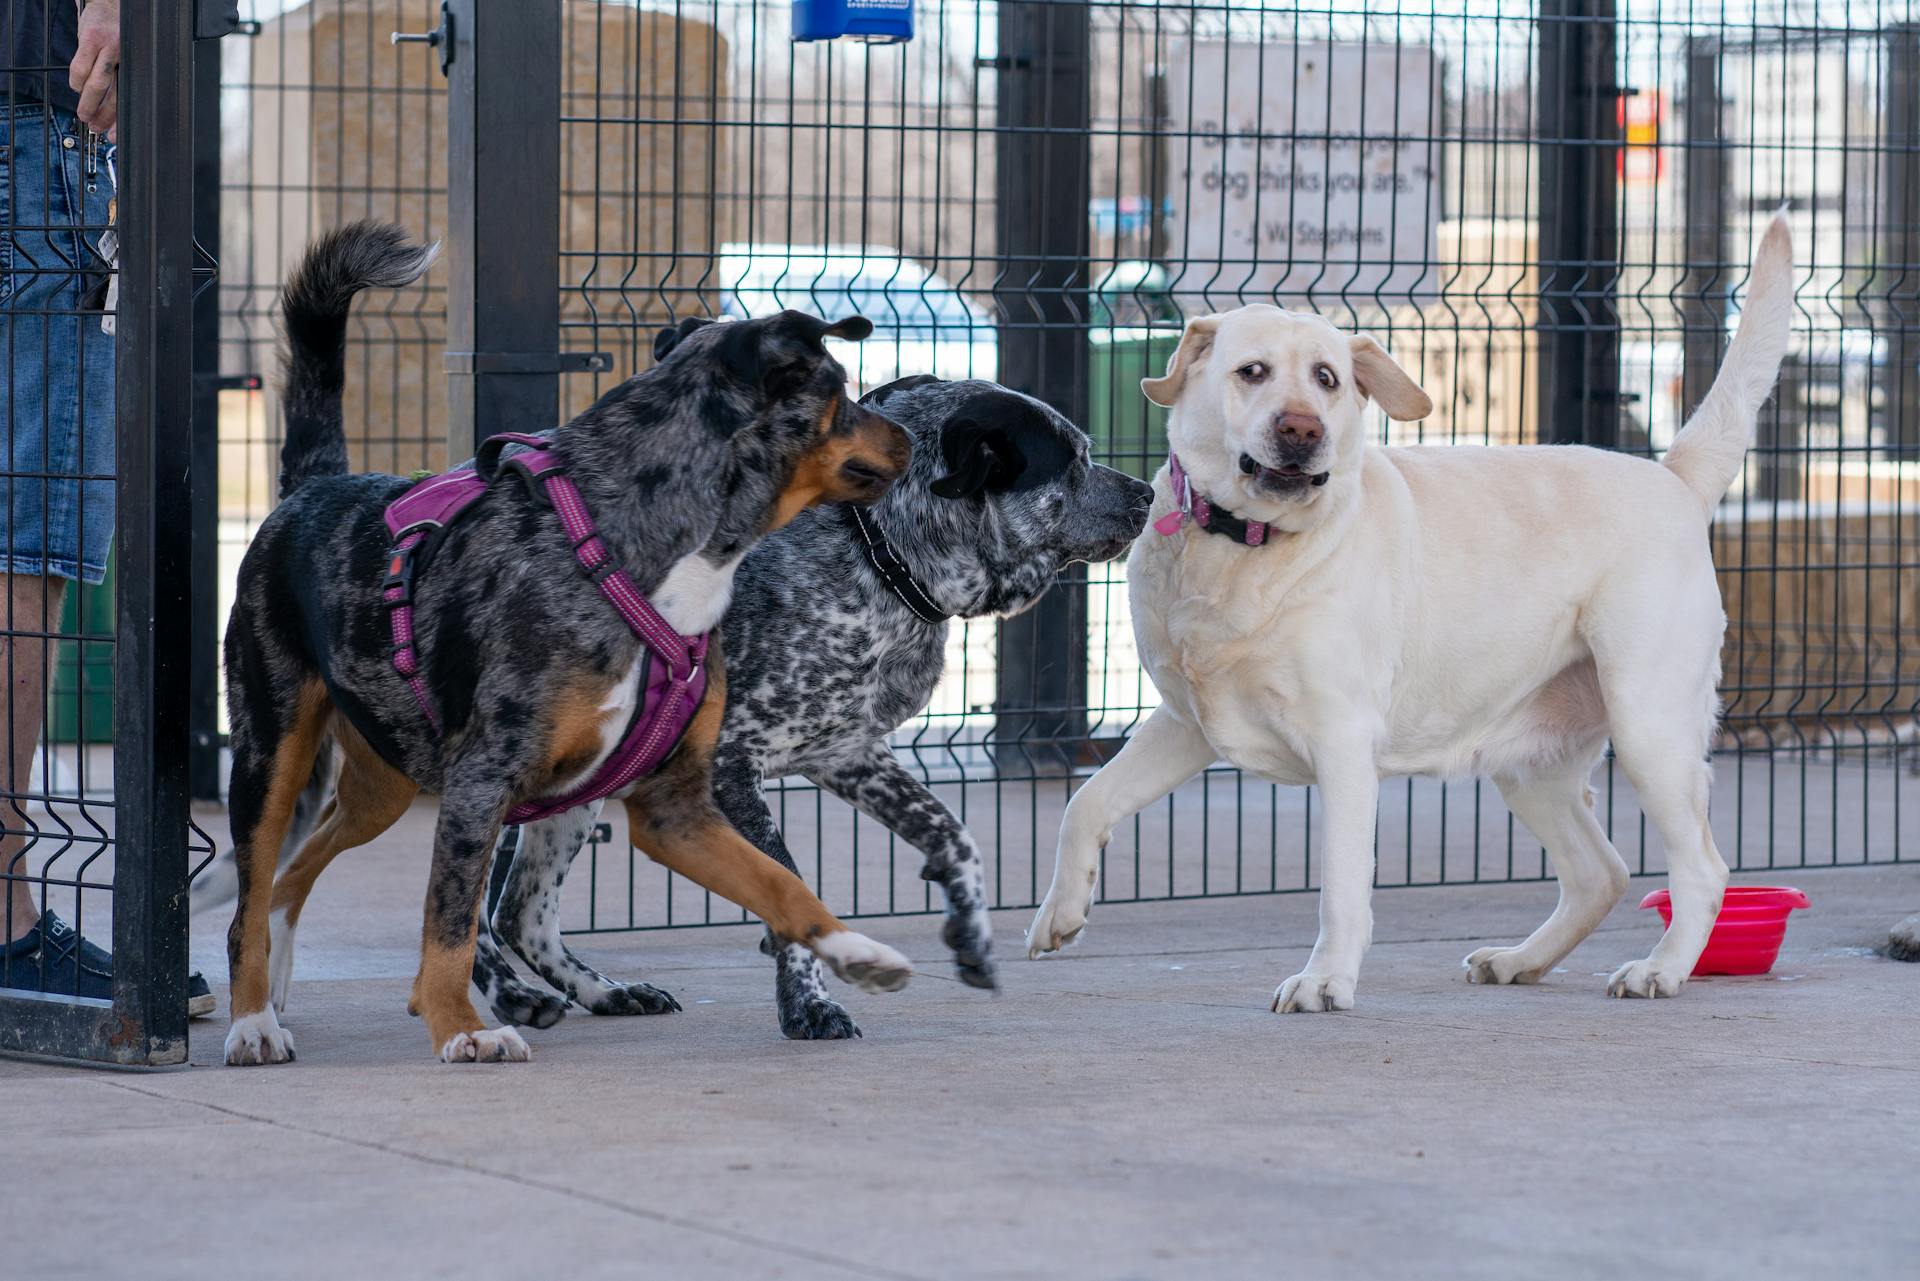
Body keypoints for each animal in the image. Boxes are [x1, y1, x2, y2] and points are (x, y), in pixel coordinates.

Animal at [222, 225, 913, 1067]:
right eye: (843, 391)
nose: (913, 437)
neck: (630, 547)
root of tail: (307, 489)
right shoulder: (481, 781)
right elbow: (451, 924)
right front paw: (462, 1025)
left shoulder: (677, 805)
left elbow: (782, 883)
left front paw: (856, 953)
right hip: (272, 753)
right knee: (252, 895)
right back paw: (254, 1020)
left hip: (383, 782)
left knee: (293, 874)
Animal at [474, 364, 1152, 1037]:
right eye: (1072, 460)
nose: (1147, 492)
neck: (877, 551)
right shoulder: (727, 764)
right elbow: (789, 883)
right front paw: (809, 1002)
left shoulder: (847, 755)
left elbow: (952, 833)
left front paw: (969, 932)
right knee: (478, 916)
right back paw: (511, 997)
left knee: (520, 914)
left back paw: (605, 993)